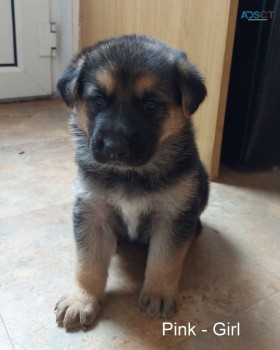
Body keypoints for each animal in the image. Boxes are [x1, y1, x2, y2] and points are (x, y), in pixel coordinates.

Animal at [55, 34, 208, 330]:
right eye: (98, 100)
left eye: (150, 105)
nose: (114, 148)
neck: (130, 174)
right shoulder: (92, 211)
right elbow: (87, 262)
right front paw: (82, 300)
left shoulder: (172, 215)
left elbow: (165, 260)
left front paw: (159, 294)